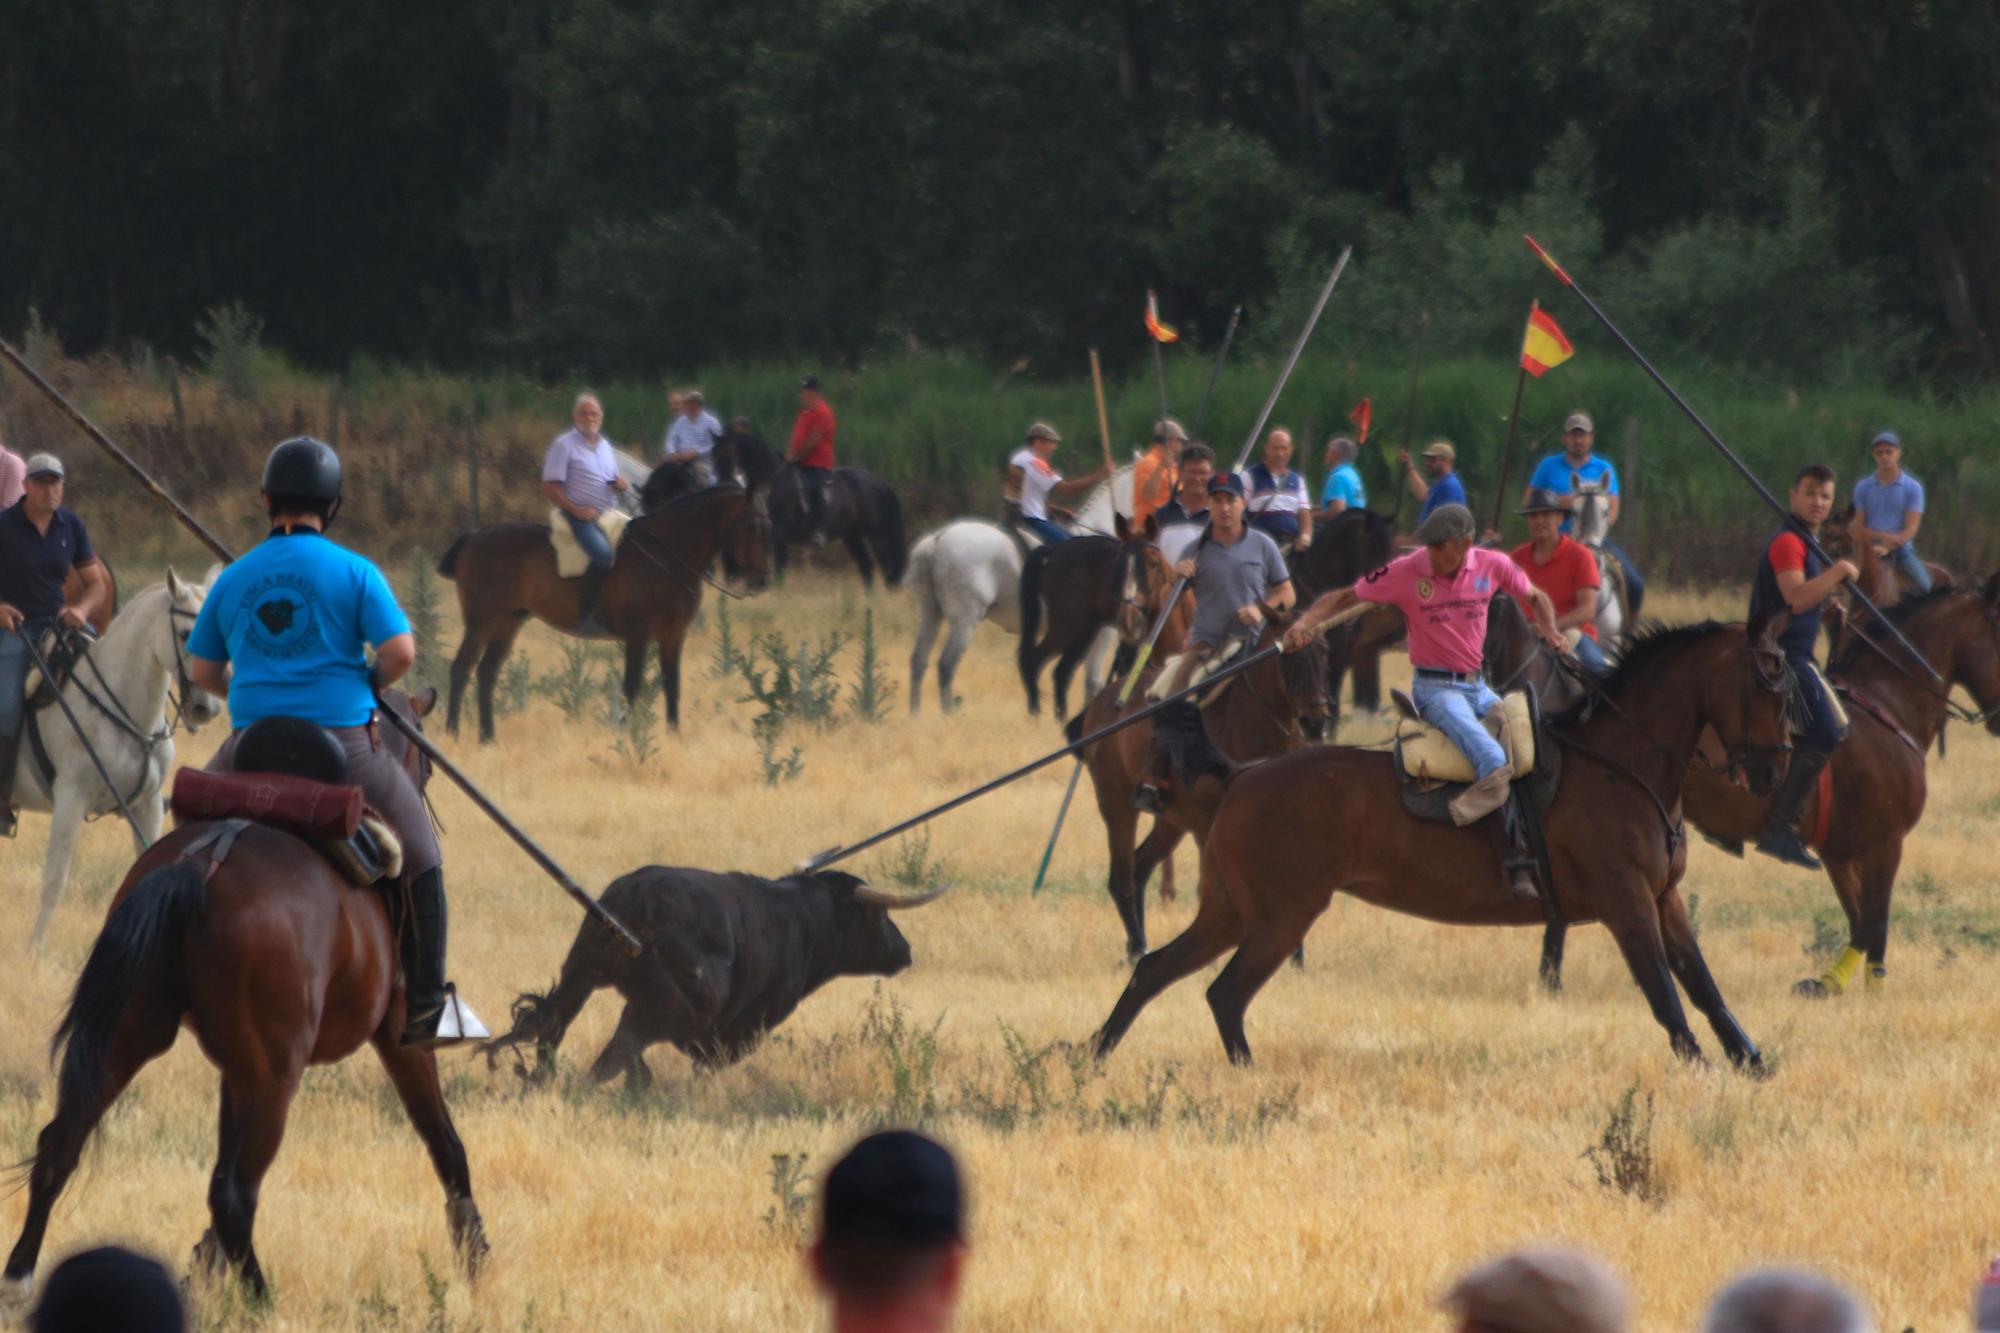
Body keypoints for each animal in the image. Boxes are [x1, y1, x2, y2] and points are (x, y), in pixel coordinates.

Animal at [11, 572, 222, 944]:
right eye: (185, 634)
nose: (205, 707)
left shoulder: (148, 806)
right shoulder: (70, 800)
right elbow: (54, 882)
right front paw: (35, 948)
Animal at [1080, 612, 1328, 956]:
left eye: (1326, 652)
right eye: (1287, 658)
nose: (1315, 722)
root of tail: (1101, 703)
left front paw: (1295, 957)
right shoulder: (1212, 824)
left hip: (1171, 819)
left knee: (1140, 867)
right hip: (1116, 805)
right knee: (1122, 878)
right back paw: (1139, 948)